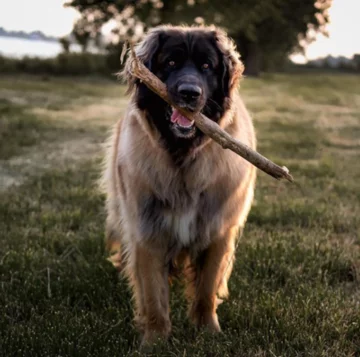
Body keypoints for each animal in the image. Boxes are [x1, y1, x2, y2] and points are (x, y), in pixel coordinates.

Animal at [101, 24, 258, 344]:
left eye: (207, 66)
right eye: (170, 62)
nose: (189, 93)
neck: (183, 156)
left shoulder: (218, 230)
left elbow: (207, 287)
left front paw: (208, 329)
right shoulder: (147, 229)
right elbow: (153, 294)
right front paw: (155, 340)